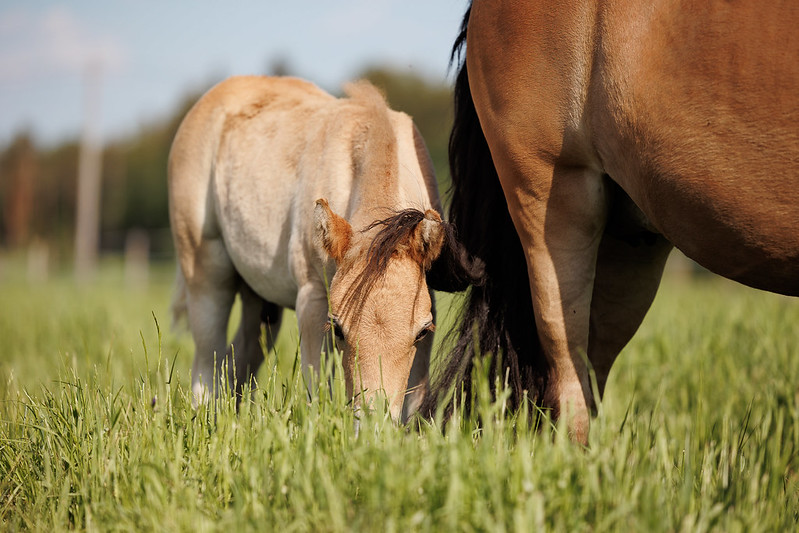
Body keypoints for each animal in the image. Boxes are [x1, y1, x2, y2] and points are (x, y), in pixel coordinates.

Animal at [170, 78, 450, 420]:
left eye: (422, 332)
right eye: (338, 330)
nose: (373, 425)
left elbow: (417, 393)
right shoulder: (313, 298)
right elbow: (317, 389)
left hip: (259, 298)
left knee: (240, 357)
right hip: (207, 273)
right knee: (206, 361)